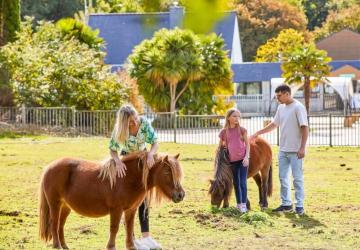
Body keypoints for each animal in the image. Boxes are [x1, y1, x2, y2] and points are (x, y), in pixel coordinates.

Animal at [39, 152, 184, 250]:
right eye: (167, 172)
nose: (181, 195)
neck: (128, 178)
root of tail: (49, 167)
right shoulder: (116, 210)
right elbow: (114, 228)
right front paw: (111, 246)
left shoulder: (131, 210)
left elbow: (129, 228)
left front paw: (131, 246)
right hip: (55, 205)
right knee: (54, 224)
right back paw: (57, 246)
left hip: (65, 206)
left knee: (60, 225)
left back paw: (64, 246)